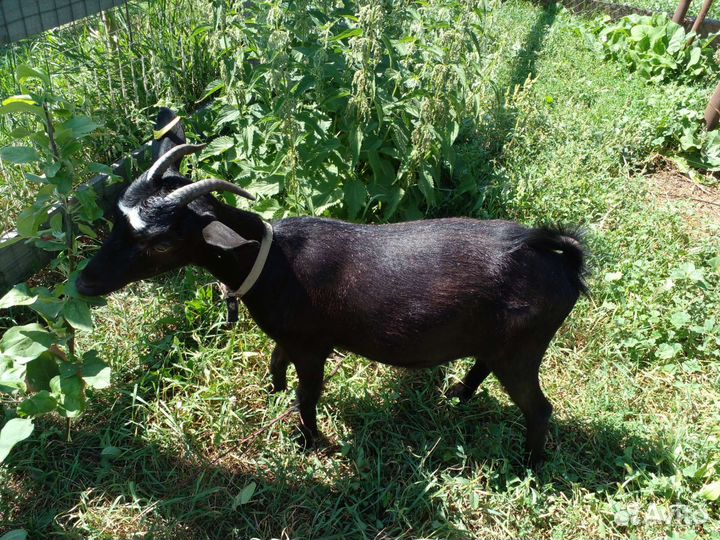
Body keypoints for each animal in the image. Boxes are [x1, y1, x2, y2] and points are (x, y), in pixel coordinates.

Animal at [77, 108, 588, 466]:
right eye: (115, 217)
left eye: (160, 242)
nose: (84, 283)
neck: (270, 260)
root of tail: (557, 256)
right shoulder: (290, 337)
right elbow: (275, 361)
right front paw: (273, 394)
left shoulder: (313, 344)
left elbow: (308, 395)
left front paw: (312, 443)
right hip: (501, 341)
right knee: (482, 365)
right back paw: (457, 397)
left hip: (523, 348)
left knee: (539, 408)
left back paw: (527, 463)